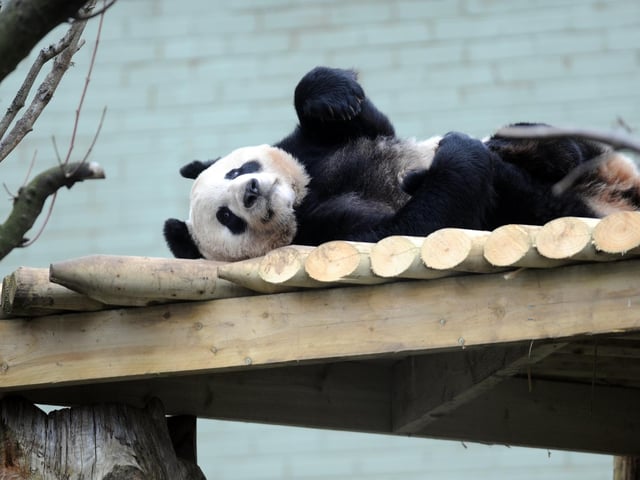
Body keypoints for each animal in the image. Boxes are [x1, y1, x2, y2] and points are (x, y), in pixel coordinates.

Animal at [164, 66, 640, 262]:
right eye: (227, 217)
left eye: (237, 171)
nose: (251, 191)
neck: (301, 198)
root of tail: (614, 199)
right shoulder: (324, 235)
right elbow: (412, 228)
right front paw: (457, 153)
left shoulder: (314, 151)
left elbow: (361, 121)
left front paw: (335, 97)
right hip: (551, 209)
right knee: (539, 201)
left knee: (562, 148)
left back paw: (521, 147)